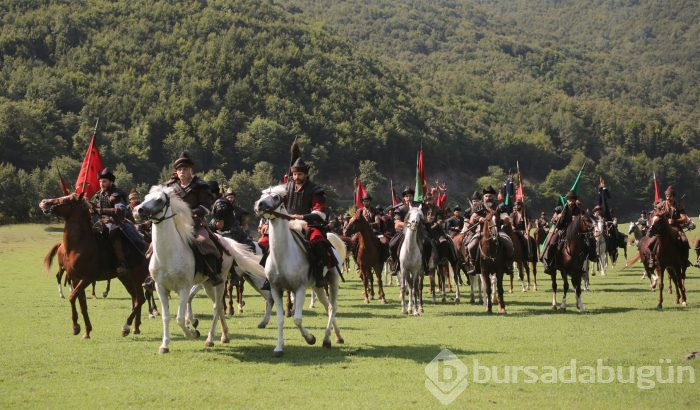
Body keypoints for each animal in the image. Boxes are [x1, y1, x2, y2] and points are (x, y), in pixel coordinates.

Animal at [39, 194, 148, 338]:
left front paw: (76, 326)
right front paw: (86, 330)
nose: (44, 202)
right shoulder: (76, 279)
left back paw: (126, 327)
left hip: (137, 277)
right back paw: (135, 328)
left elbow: (72, 297)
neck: (79, 244)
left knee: (140, 299)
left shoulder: (87, 279)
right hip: (126, 278)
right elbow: (82, 304)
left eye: (67, 199)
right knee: (135, 298)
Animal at [136, 186, 232, 352]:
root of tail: (225, 242)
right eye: (146, 197)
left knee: (216, 307)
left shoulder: (184, 288)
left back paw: (209, 339)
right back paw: (224, 336)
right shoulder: (160, 288)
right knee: (219, 306)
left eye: (159, 200)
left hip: (221, 282)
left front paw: (193, 333)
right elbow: (166, 317)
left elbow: (180, 319)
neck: (169, 254)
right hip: (207, 284)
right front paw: (164, 345)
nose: (138, 210)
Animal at [254, 184, 348, 358]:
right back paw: (337, 337)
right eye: (262, 196)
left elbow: (297, 319)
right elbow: (280, 319)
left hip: (333, 281)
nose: (259, 205)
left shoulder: (300, 289)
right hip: (318, 287)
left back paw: (326, 339)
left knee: (333, 307)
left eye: (276, 197)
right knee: (328, 307)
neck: (283, 255)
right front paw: (278, 348)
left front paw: (310, 338)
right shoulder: (276, 289)